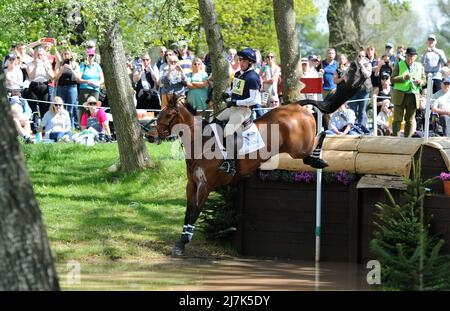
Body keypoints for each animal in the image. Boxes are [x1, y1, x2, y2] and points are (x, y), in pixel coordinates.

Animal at [148, 96, 326, 258]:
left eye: (169, 115)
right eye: (160, 113)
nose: (150, 135)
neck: (200, 142)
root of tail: (296, 106)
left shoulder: (205, 186)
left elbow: (194, 213)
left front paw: (183, 242)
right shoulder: (191, 184)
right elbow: (188, 212)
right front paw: (181, 242)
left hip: (298, 149)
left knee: (321, 135)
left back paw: (319, 159)